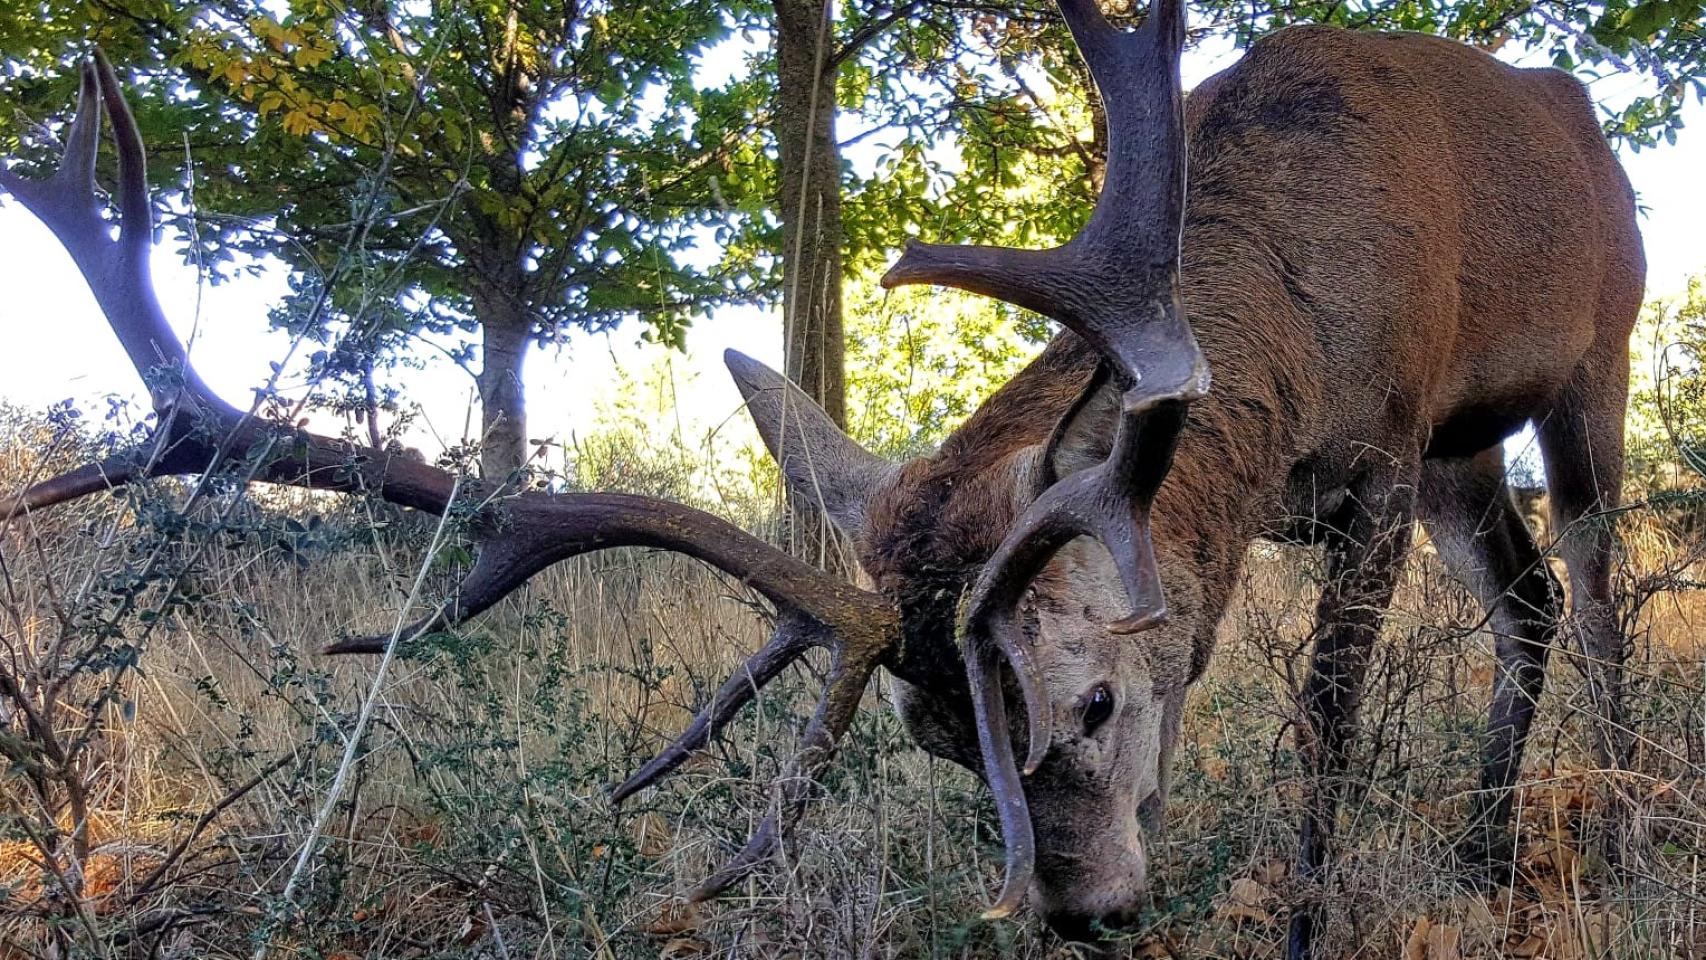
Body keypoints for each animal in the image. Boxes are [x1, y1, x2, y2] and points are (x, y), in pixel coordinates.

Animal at [0, 0, 1642, 953]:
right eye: (932, 738)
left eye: (1089, 704)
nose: (1083, 917)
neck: (1285, 328)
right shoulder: (1338, 486)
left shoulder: (1381, 447)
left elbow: (1325, 720)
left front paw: (1302, 921)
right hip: (1464, 458)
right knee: (1523, 599)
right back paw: (1487, 845)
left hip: (1584, 365)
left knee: (1592, 587)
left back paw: (1614, 820)